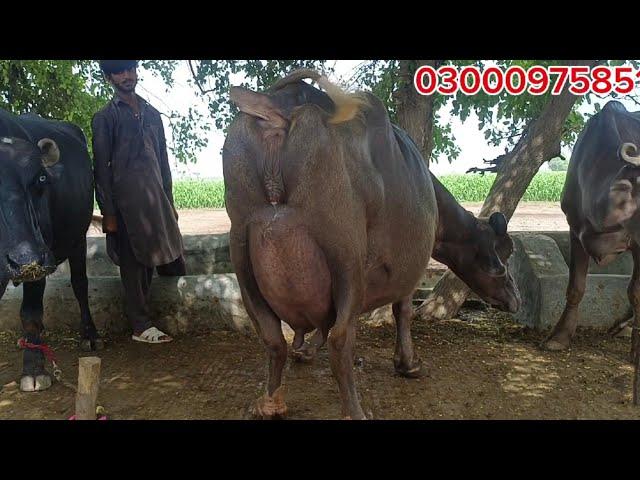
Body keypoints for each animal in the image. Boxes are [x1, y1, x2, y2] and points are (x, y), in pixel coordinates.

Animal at [224, 69, 520, 418]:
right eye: (503, 257)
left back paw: (270, 403)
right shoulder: (408, 268)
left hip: (243, 256)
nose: (516, 300)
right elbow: (402, 310)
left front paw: (306, 350)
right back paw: (354, 410)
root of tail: (276, 108)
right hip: (346, 257)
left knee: (273, 340)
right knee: (341, 338)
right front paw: (408, 364)